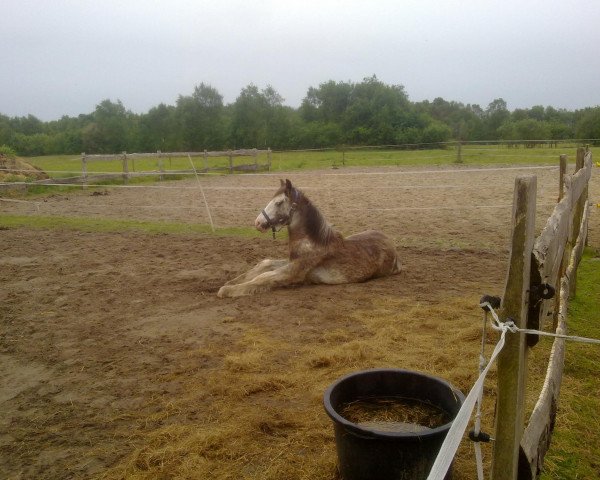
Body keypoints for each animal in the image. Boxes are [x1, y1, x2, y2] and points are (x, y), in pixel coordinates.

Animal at [218, 178, 400, 298]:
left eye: (278, 203)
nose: (258, 223)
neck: (312, 242)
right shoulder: (292, 262)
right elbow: (265, 264)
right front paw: (231, 282)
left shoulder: (294, 271)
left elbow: (263, 277)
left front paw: (227, 291)